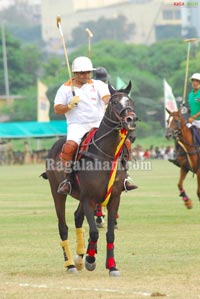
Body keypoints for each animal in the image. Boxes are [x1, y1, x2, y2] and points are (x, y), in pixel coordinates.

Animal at [42, 81, 138, 276]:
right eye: (114, 102)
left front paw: (111, 266)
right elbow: (94, 232)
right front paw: (91, 260)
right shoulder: (89, 199)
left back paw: (79, 258)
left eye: (130, 101)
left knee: (77, 218)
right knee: (63, 226)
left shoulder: (114, 198)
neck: (106, 155)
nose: (131, 119)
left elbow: (110, 233)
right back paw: (71, 264)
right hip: (58, 193)